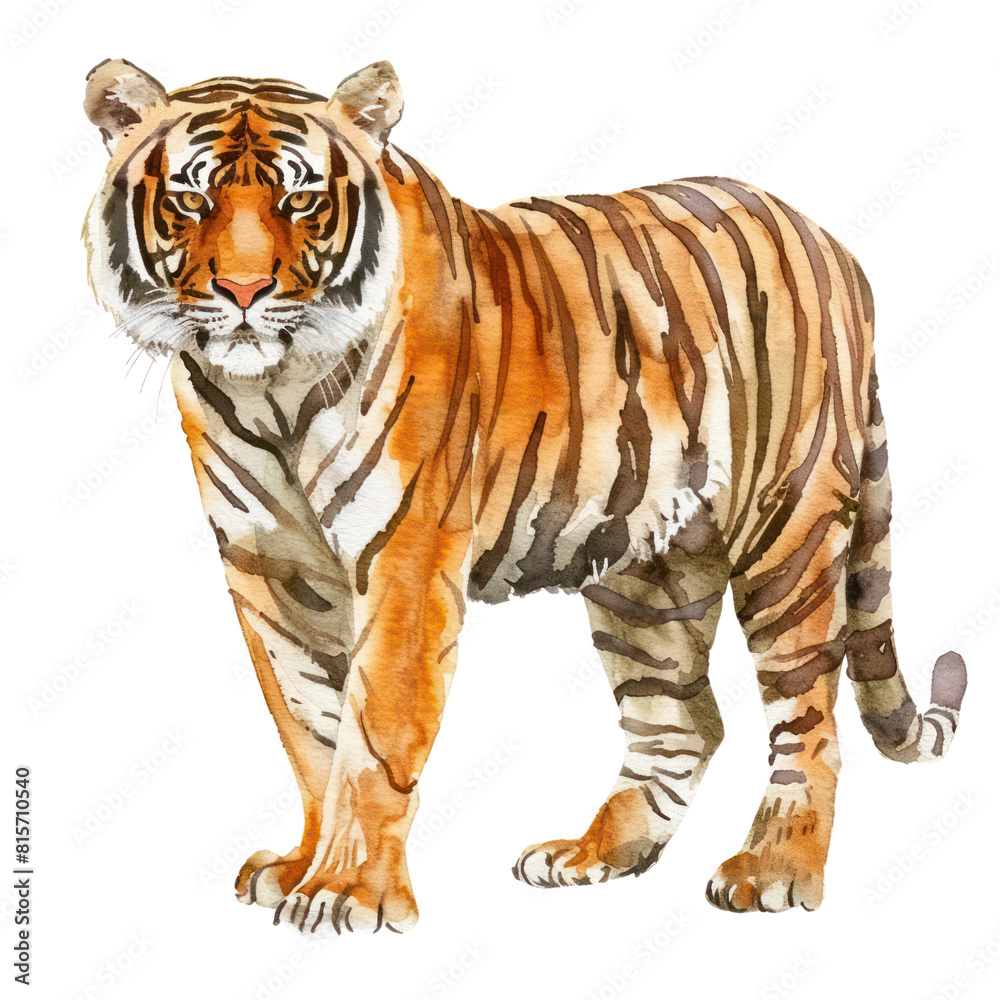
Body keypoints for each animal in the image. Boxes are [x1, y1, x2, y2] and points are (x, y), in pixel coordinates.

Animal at [83, 57, 967, 935]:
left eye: (300, 200)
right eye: (191, 199)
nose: (243, 292)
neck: (268, 392)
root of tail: (833, 246)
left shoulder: (405, 554)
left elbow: (376, 727)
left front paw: (348, 891)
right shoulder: (271, 567)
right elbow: (309, 726)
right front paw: (304, 865)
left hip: (788, 531)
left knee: (808, 721)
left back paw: (773, 869)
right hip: (645, 571)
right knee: (681, 723)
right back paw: (595, 854)